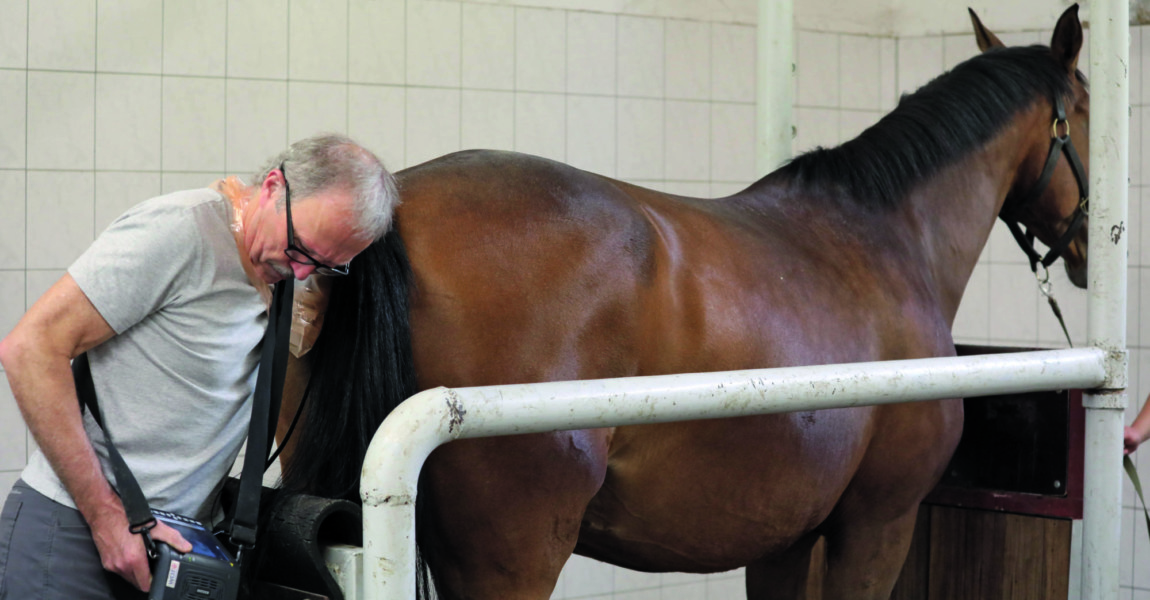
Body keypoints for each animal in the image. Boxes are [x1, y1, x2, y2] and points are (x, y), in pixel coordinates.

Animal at [273, 7, 1090, 593]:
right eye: (1086, 112)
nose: (1086, 242)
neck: (887, 239)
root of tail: (393, 207)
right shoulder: (876, 525)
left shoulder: (783, 537)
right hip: (512, 558)